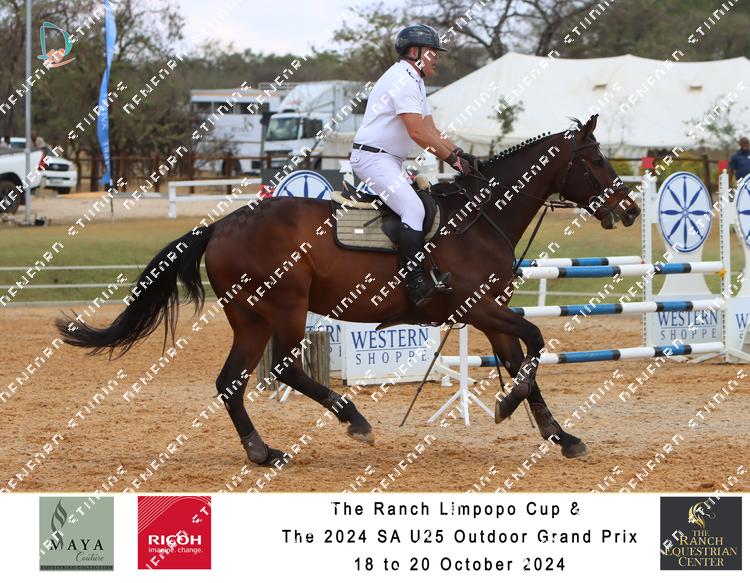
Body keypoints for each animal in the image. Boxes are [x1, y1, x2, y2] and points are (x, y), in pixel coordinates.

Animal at [56, 114, 640, 466]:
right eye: (594, 160)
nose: (630, 210)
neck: (479, 219)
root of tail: (220, 225)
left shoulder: (491, 312)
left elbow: (522, 363)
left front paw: (559, 435)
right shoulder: (481, 309)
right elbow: (535, 345)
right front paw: (507, 407)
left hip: (250, 319)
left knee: (230, 382)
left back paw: (263, 451)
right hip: (285, 308)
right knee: (285, 368)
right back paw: (353, 420)